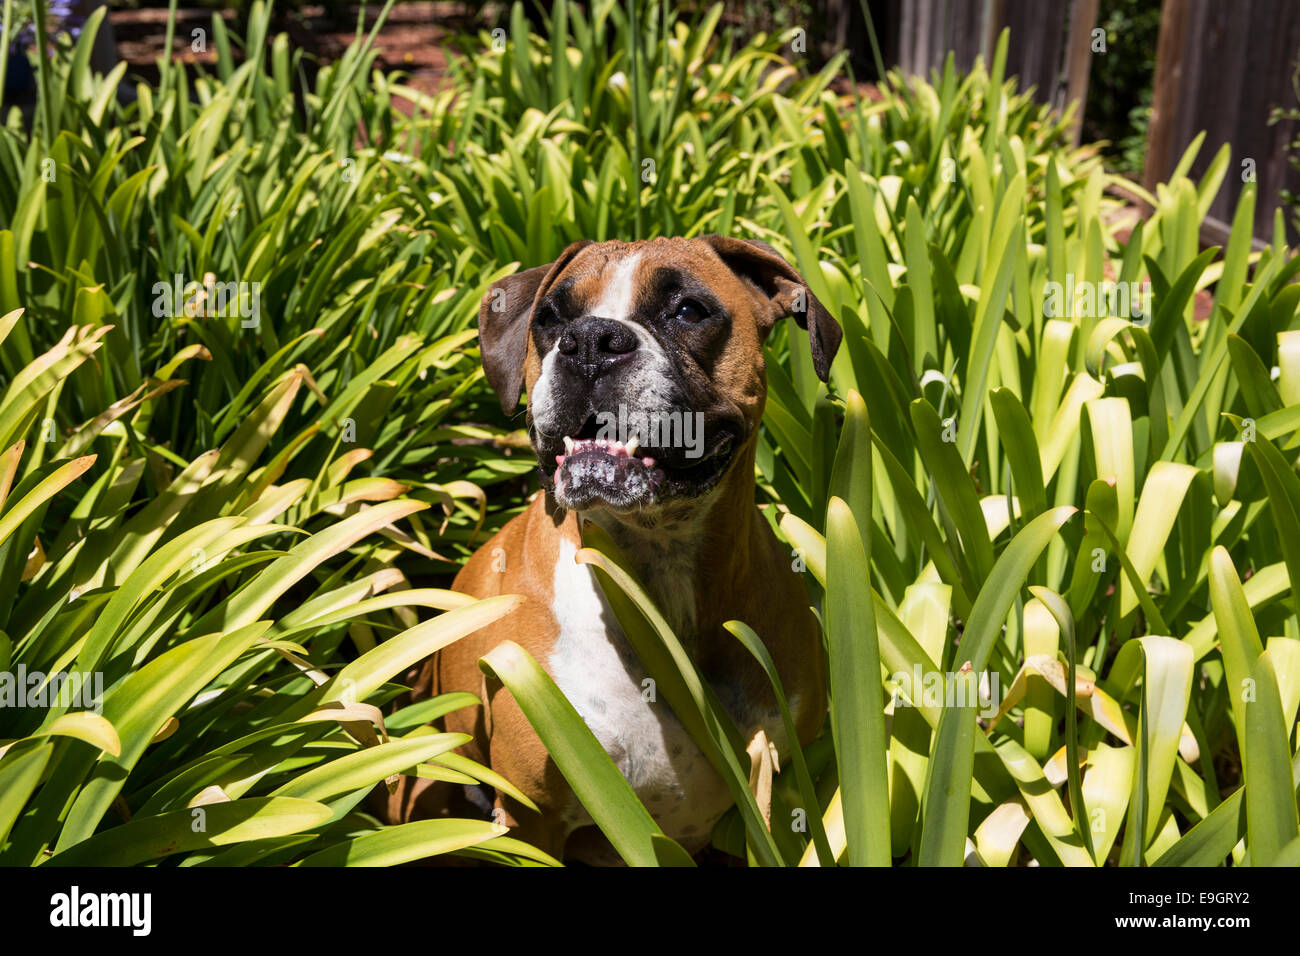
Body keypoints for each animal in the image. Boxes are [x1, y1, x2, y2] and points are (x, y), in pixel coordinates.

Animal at [384, 235, 842, 863]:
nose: (590, 342)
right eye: (551, 319)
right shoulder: (531, 820)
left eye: (688, 310)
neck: (655, 578)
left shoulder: (781, 792)